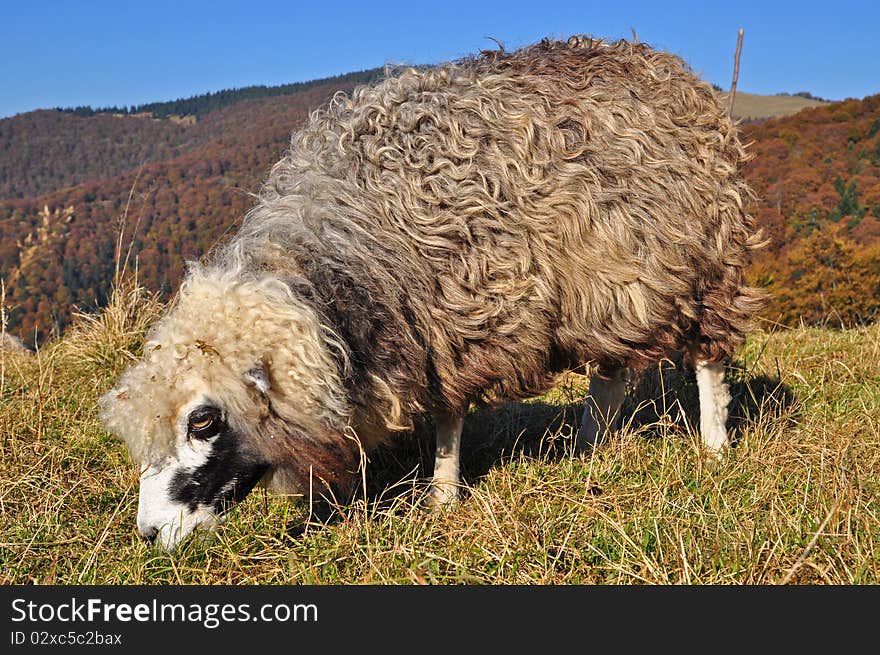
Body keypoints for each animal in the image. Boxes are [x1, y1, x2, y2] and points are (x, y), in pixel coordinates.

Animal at [99, 34, 768, 548]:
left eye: (204, 420)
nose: (149, 534)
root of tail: (660, 62)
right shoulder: (429, 325)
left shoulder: (460, 311)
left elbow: (449, 414)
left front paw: (443, 494)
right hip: (609, 285)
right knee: (609, 372)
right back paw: (587, 448)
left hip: (705, 261)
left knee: (708, 357)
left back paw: (713, 448)